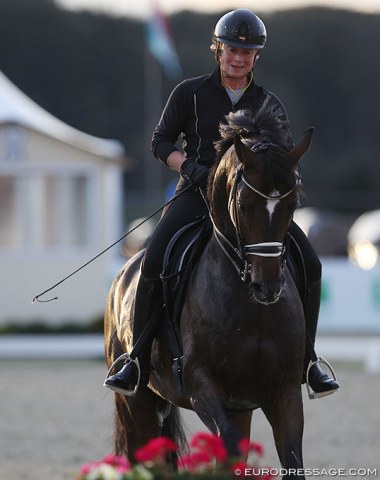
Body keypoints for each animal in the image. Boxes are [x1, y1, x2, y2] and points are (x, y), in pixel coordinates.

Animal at [104, 103, 314, 478]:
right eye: (244, 206)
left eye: (293, 206)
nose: (267, 286)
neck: (253, 310)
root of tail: (123, 274)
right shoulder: (201, 384)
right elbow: (226, 446)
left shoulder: (284, 392)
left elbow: (291, 461)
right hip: (136, 401)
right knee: (141, 456)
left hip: (239, 406)